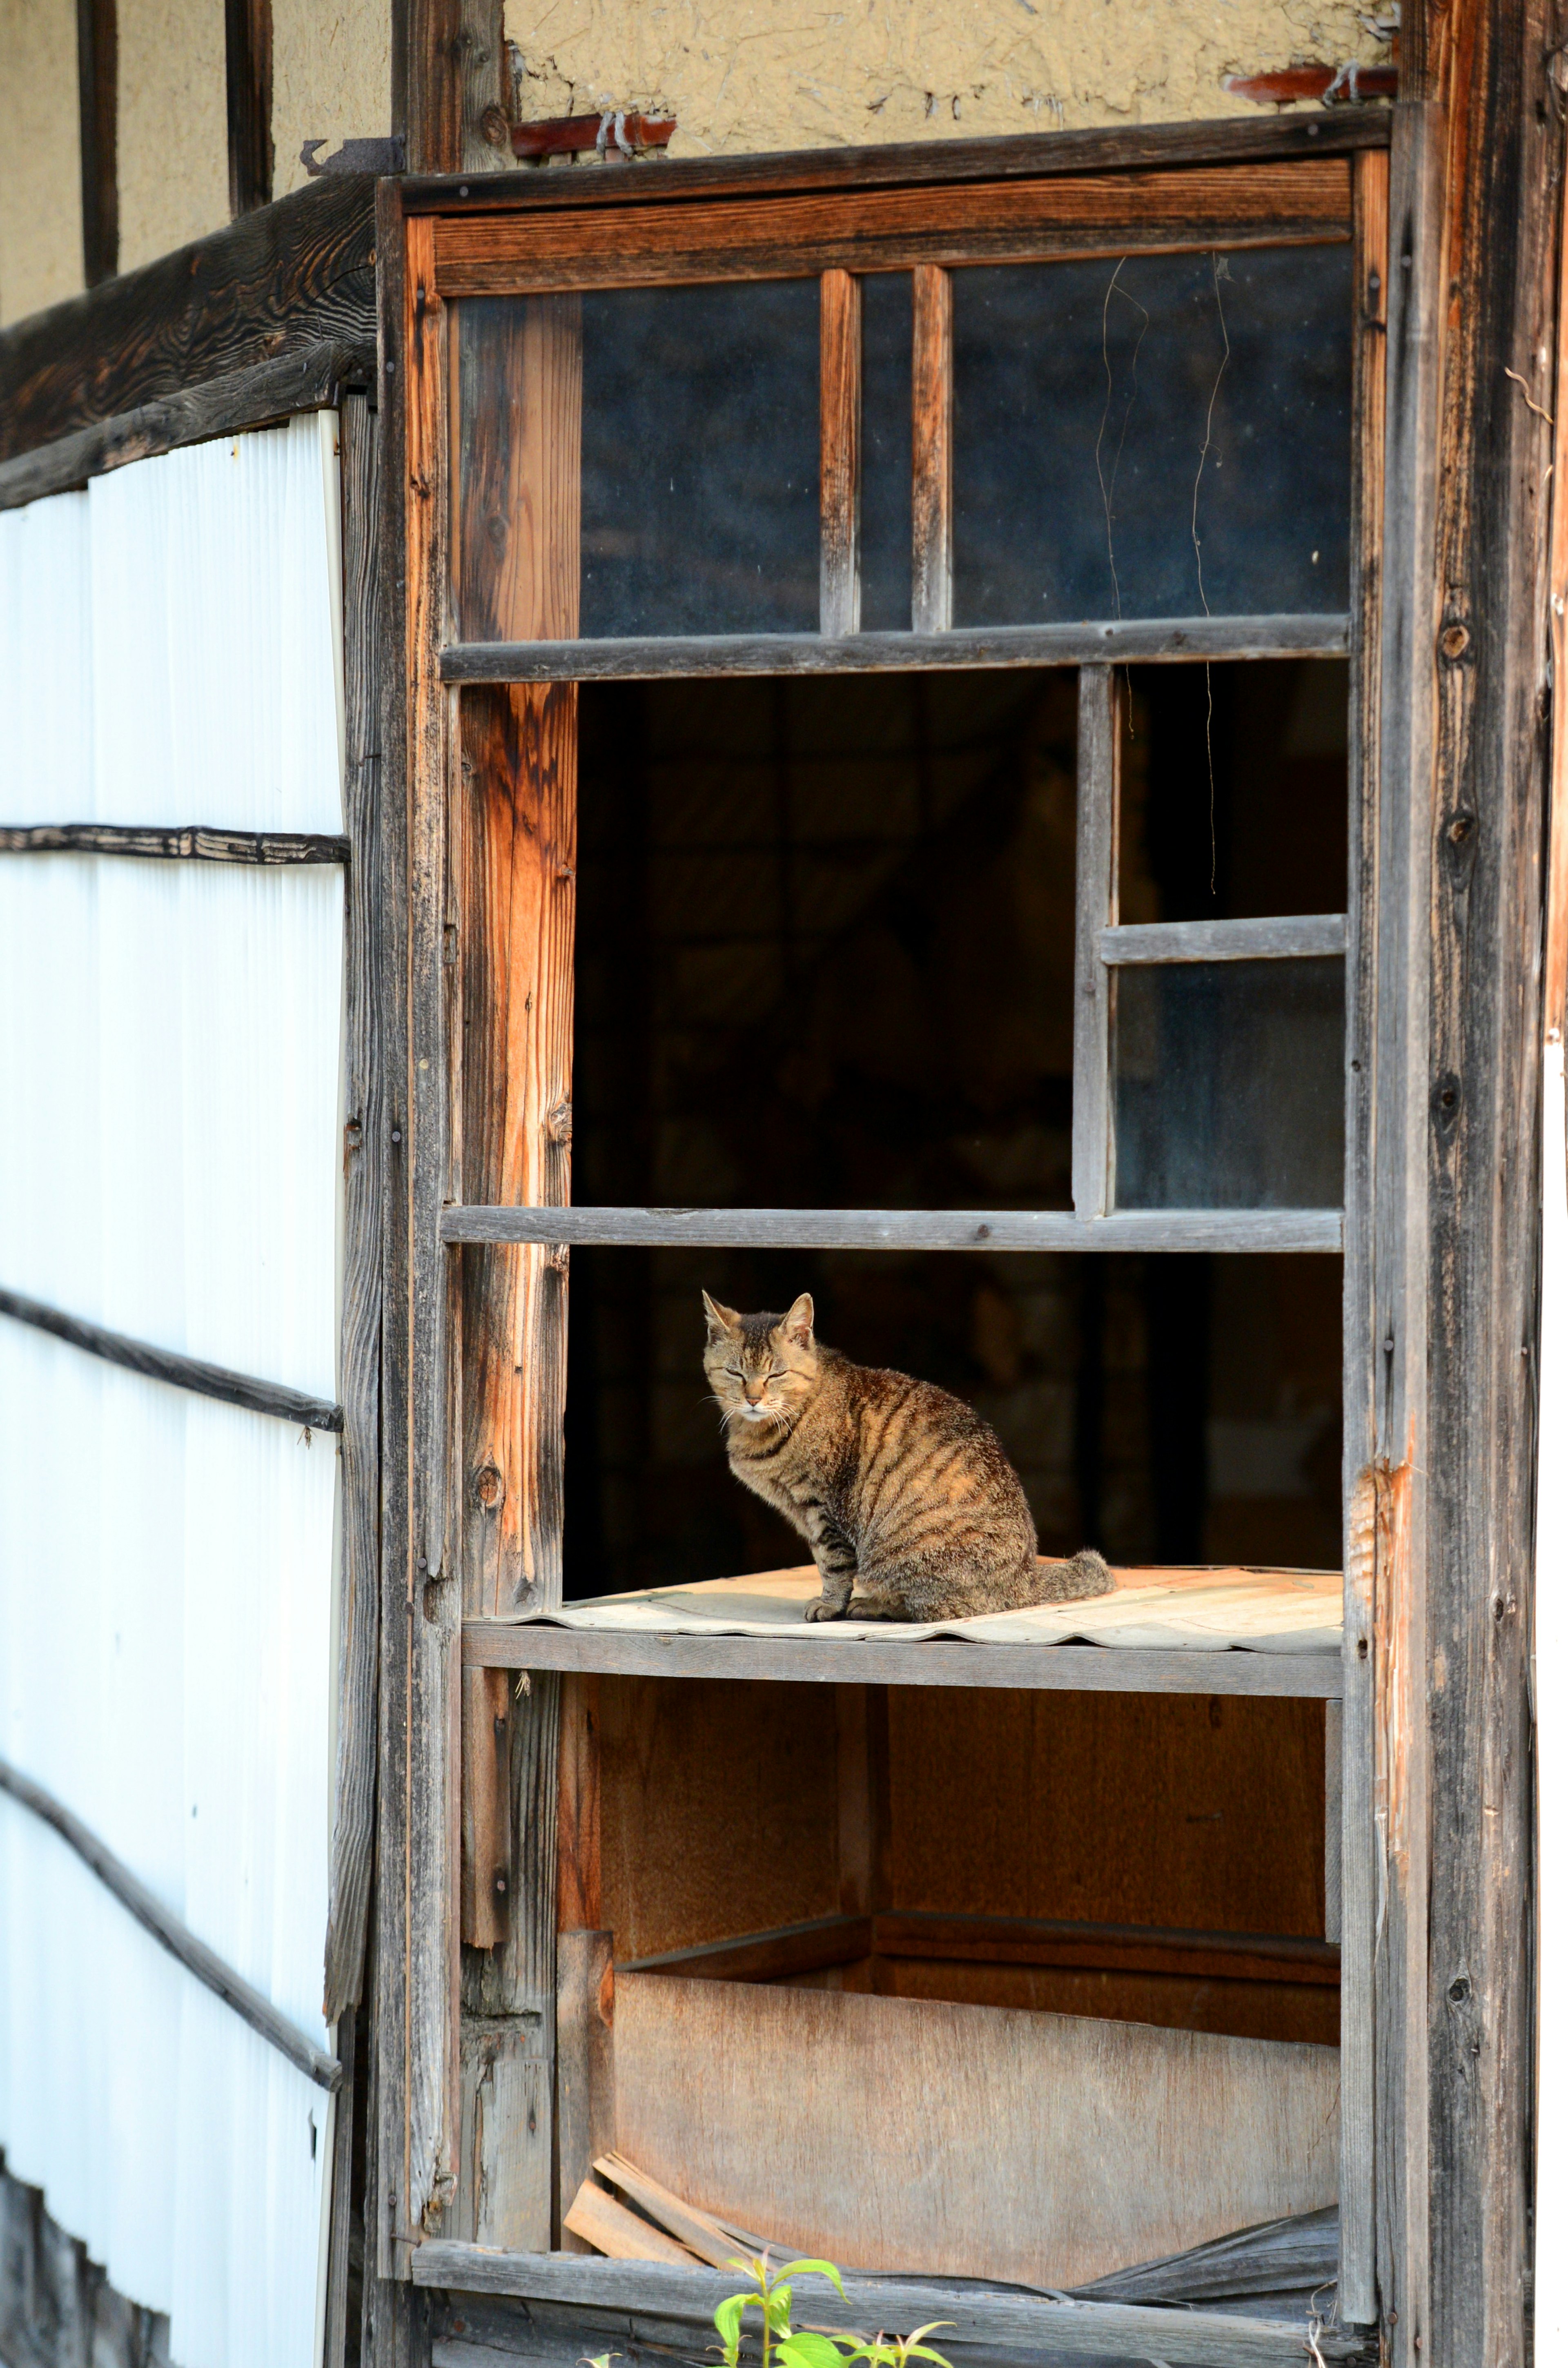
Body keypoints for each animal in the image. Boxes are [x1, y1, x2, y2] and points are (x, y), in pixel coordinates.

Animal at [706, 1288, 1113, 1620]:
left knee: (942, 1608)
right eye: (735, 1373)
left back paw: (874, 1605)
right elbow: (824, 1559)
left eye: (776, 1375)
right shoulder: (805, 1513)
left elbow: (833, 1564)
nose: (753, 1398)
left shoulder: (825, 1509)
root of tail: (1026, 1575)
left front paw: (831, 1604)